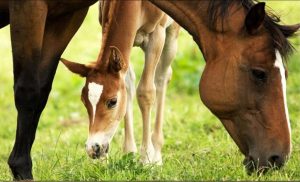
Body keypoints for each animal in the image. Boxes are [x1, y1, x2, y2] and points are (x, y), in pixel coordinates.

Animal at [61, 0, 178, 165]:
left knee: (162, 76)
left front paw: (146, 158)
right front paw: (129, 153)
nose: (93, 148)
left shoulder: (157, 35)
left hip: (172, 31)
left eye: (112, 101)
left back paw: (156, 152)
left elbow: (146, 91)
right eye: (84, 101)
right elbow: (127, 87)